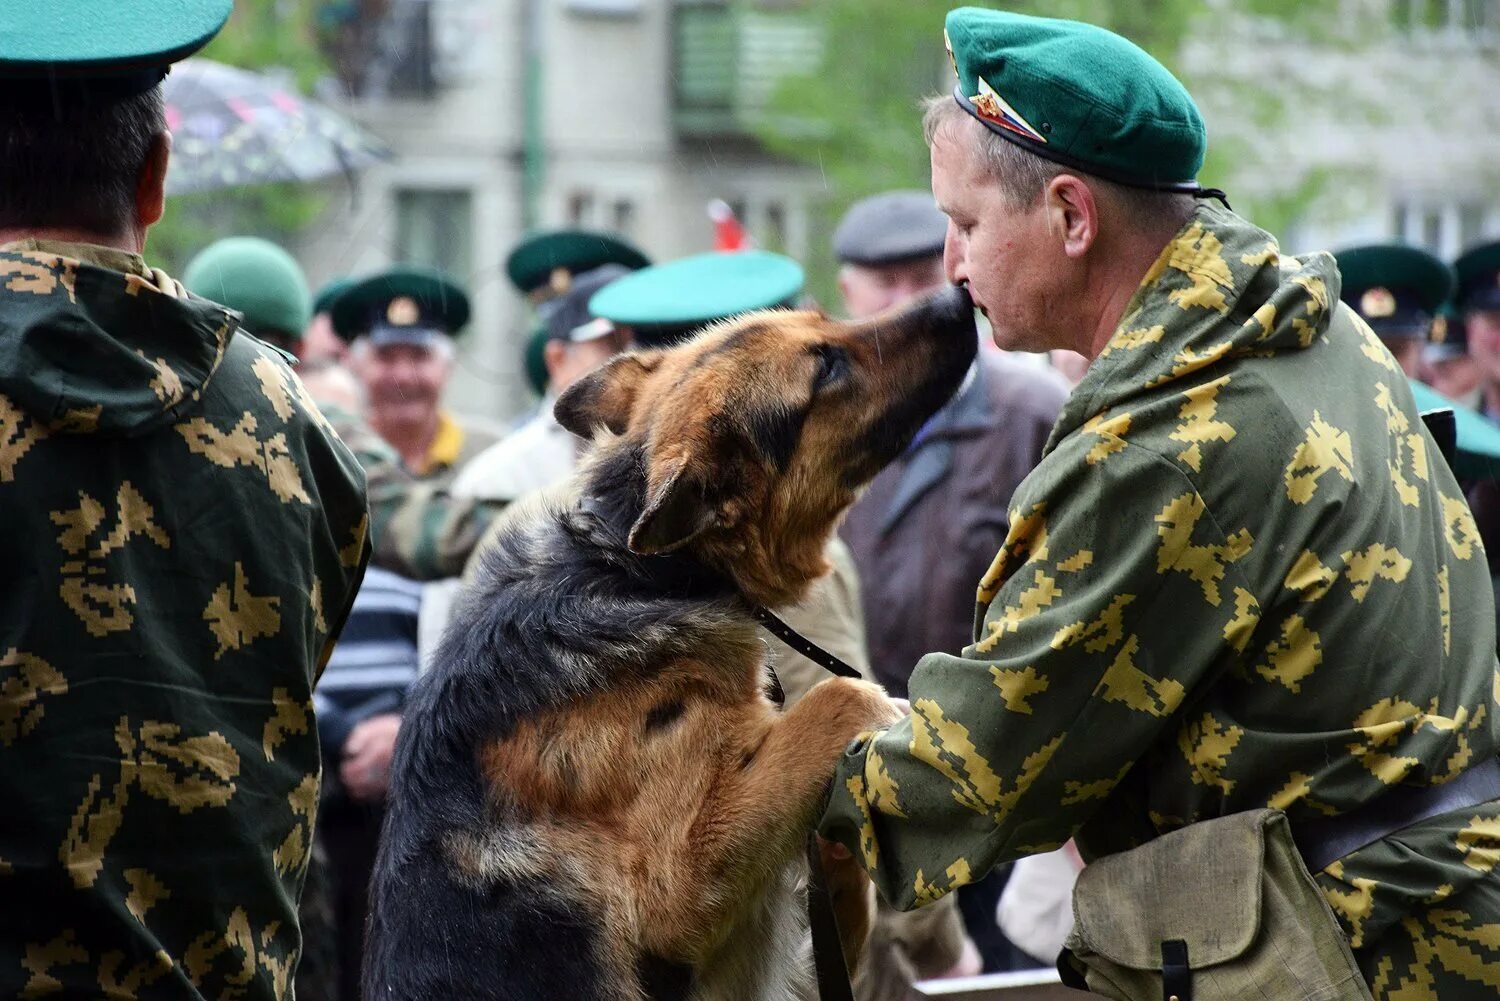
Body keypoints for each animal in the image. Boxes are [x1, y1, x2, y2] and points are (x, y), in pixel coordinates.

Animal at [367, 285, 978, 996]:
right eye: (825, 368)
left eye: (826, 321)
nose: (957, 295)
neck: (643, 571)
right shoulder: (673, 888)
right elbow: (837, 697)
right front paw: (878, 706)